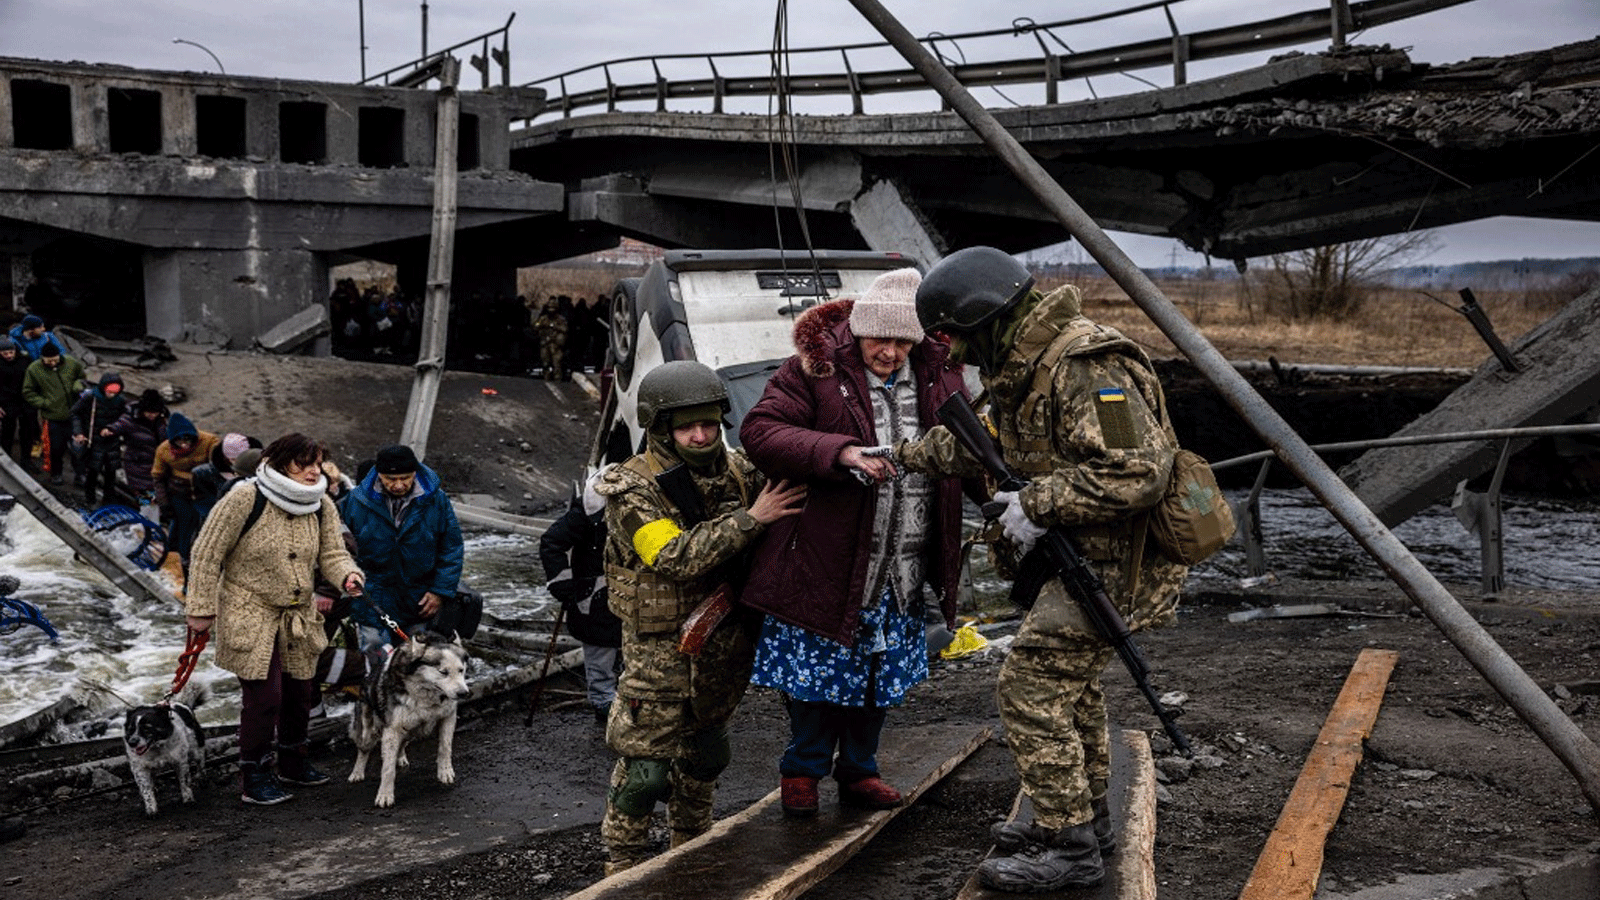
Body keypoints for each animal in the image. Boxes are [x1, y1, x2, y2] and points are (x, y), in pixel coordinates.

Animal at [122, 679, 208, 813]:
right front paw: (151, 809)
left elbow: (185, 782)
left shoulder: (180, 762)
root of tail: (185, 705)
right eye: (130, 729)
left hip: (196, 749)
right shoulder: (139, 768)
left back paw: (202, 778)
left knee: (201, 763)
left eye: (147, 728)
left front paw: (188, 799)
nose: (132, 742)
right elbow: (146, 790)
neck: (156, 748)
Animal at [347, 624, 470, 807]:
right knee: (363, 750)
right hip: (368, 731)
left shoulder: (448, 717)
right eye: (443, 672)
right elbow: (388, 768)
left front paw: (445, 772)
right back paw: (357, 772)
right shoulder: (392, 729)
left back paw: (400, 757)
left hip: (410, 731)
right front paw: (385, 795)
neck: (425, 691)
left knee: (402, 744)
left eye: (461, 670)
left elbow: (445, 747)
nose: (464, 693)